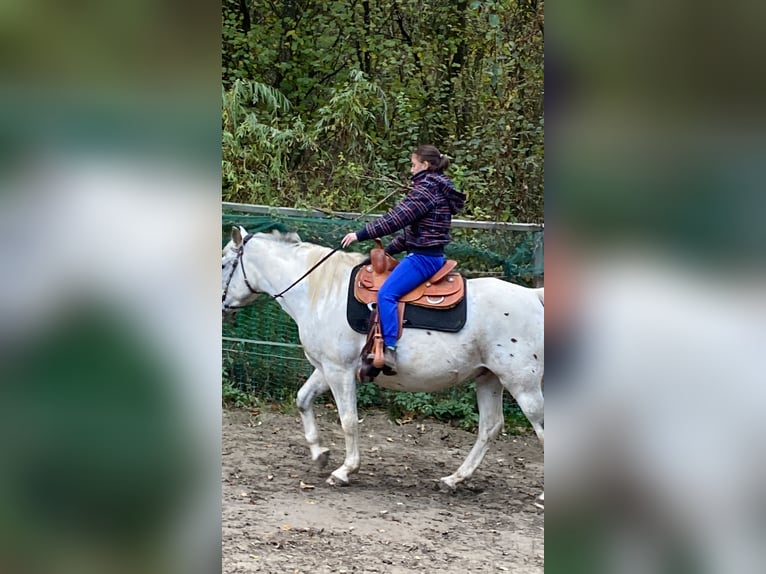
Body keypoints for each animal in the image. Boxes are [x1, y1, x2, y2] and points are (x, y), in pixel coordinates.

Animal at [222, 227, 544, 488]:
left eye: (224, 262)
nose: (222, 305)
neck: (321, 292)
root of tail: (534, 296)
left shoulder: (339, 371)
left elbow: (348, 420)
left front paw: (344, 471)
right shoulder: (327, 369)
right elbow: (302, 399)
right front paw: (319, 454)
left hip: (523, 386)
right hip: (489, 379)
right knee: (490, 427)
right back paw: (453, 479)